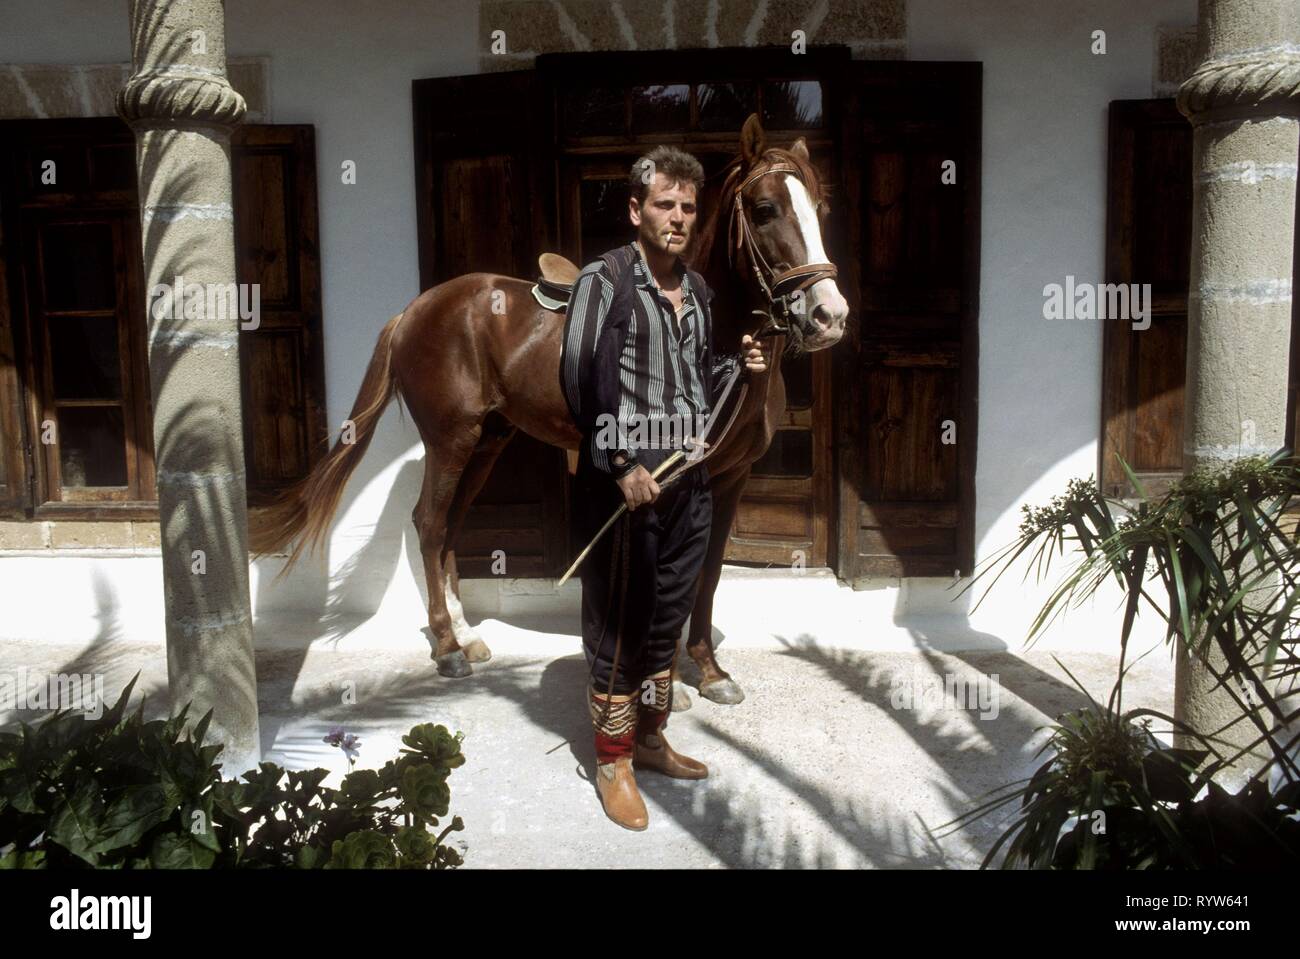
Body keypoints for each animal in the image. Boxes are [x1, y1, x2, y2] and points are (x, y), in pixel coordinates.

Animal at [252, 115, 852, 706]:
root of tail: (415, 309)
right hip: (451, 440)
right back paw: (446, 647)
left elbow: (708, 575)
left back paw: (467, 636)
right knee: (430, 522)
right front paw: (669, 678)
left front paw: (708, 669)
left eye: (822, 207)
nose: (829, 315)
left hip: (487, 442)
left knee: (451, 525)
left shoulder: (732, 478)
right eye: (765, 209)